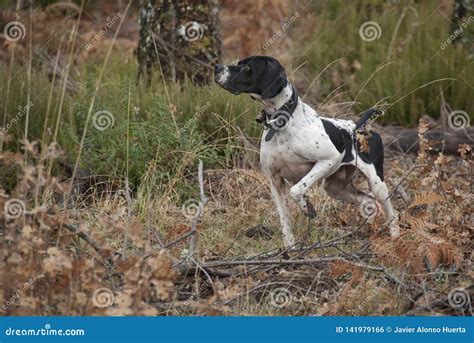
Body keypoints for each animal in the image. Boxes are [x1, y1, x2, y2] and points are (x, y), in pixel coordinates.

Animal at [213, 55, 398, 247]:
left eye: (247, 67)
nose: (216, 67)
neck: (282, 123)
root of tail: (360, 127)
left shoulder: (328, 160)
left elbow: (296, 190)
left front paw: (307, 208)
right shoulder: (274, 181)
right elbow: (284, 219)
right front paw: (289, 247)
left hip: (376, 183)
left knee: (392, 212)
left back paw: (395, 237)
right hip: (335, 188)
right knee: (368, 201)